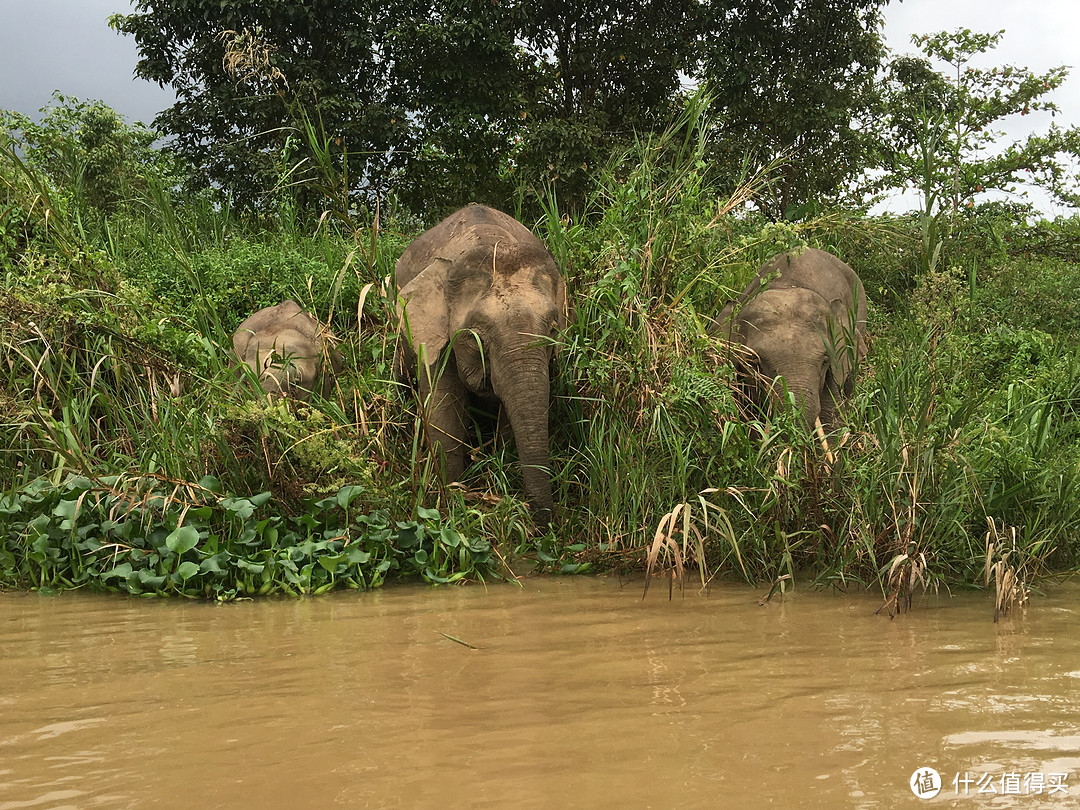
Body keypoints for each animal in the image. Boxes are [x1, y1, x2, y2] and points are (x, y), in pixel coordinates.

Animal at [395, 204, 565, 527]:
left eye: (552, 329)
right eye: (477, 337)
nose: (546, 527)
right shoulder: (436, 335)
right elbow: (442, 409)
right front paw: (451, 500)